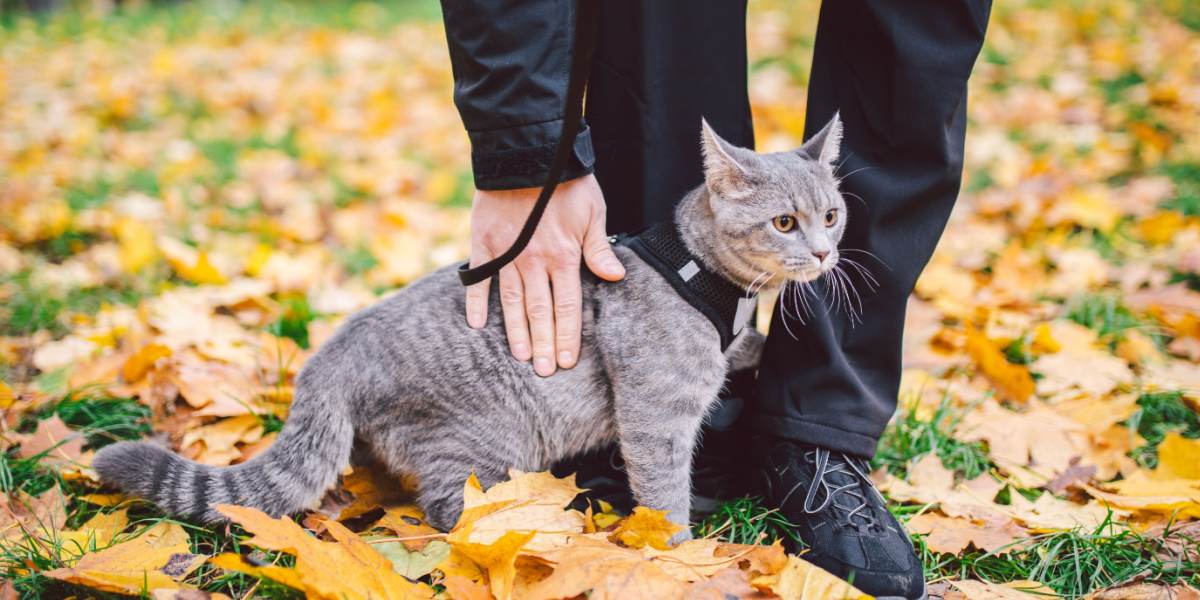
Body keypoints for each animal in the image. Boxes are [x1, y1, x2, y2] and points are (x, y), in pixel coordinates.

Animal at [93, 114, 849, 537]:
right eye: (785, 222)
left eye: (832, 215)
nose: (824, 252)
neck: (701, 278)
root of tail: (331, 354)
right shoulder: (656, 417)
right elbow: (665, 498)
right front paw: (681, 559)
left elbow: (741, 348)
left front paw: (753, 346)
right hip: (481, 445)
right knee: (448, 512)